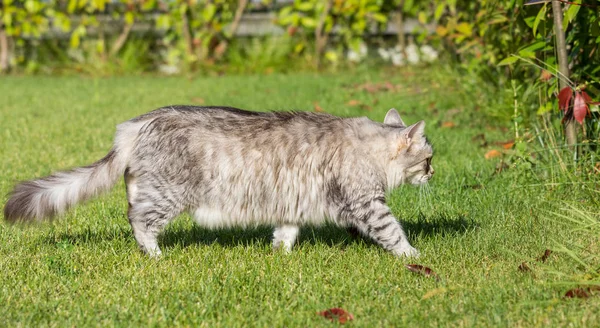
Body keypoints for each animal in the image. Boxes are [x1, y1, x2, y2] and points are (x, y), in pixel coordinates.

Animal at [2, 106, 434, 258]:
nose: (434, 172)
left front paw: (280, 254)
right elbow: (392, 231)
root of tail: (137, 124)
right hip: (169, 194)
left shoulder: (292, 202)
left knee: (131, 206)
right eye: (428, 157)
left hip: (147, 185)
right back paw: (154, 254)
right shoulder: (367, 202)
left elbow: (286, 232)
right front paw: (412, 255)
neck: (369, 146)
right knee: (139, 220)